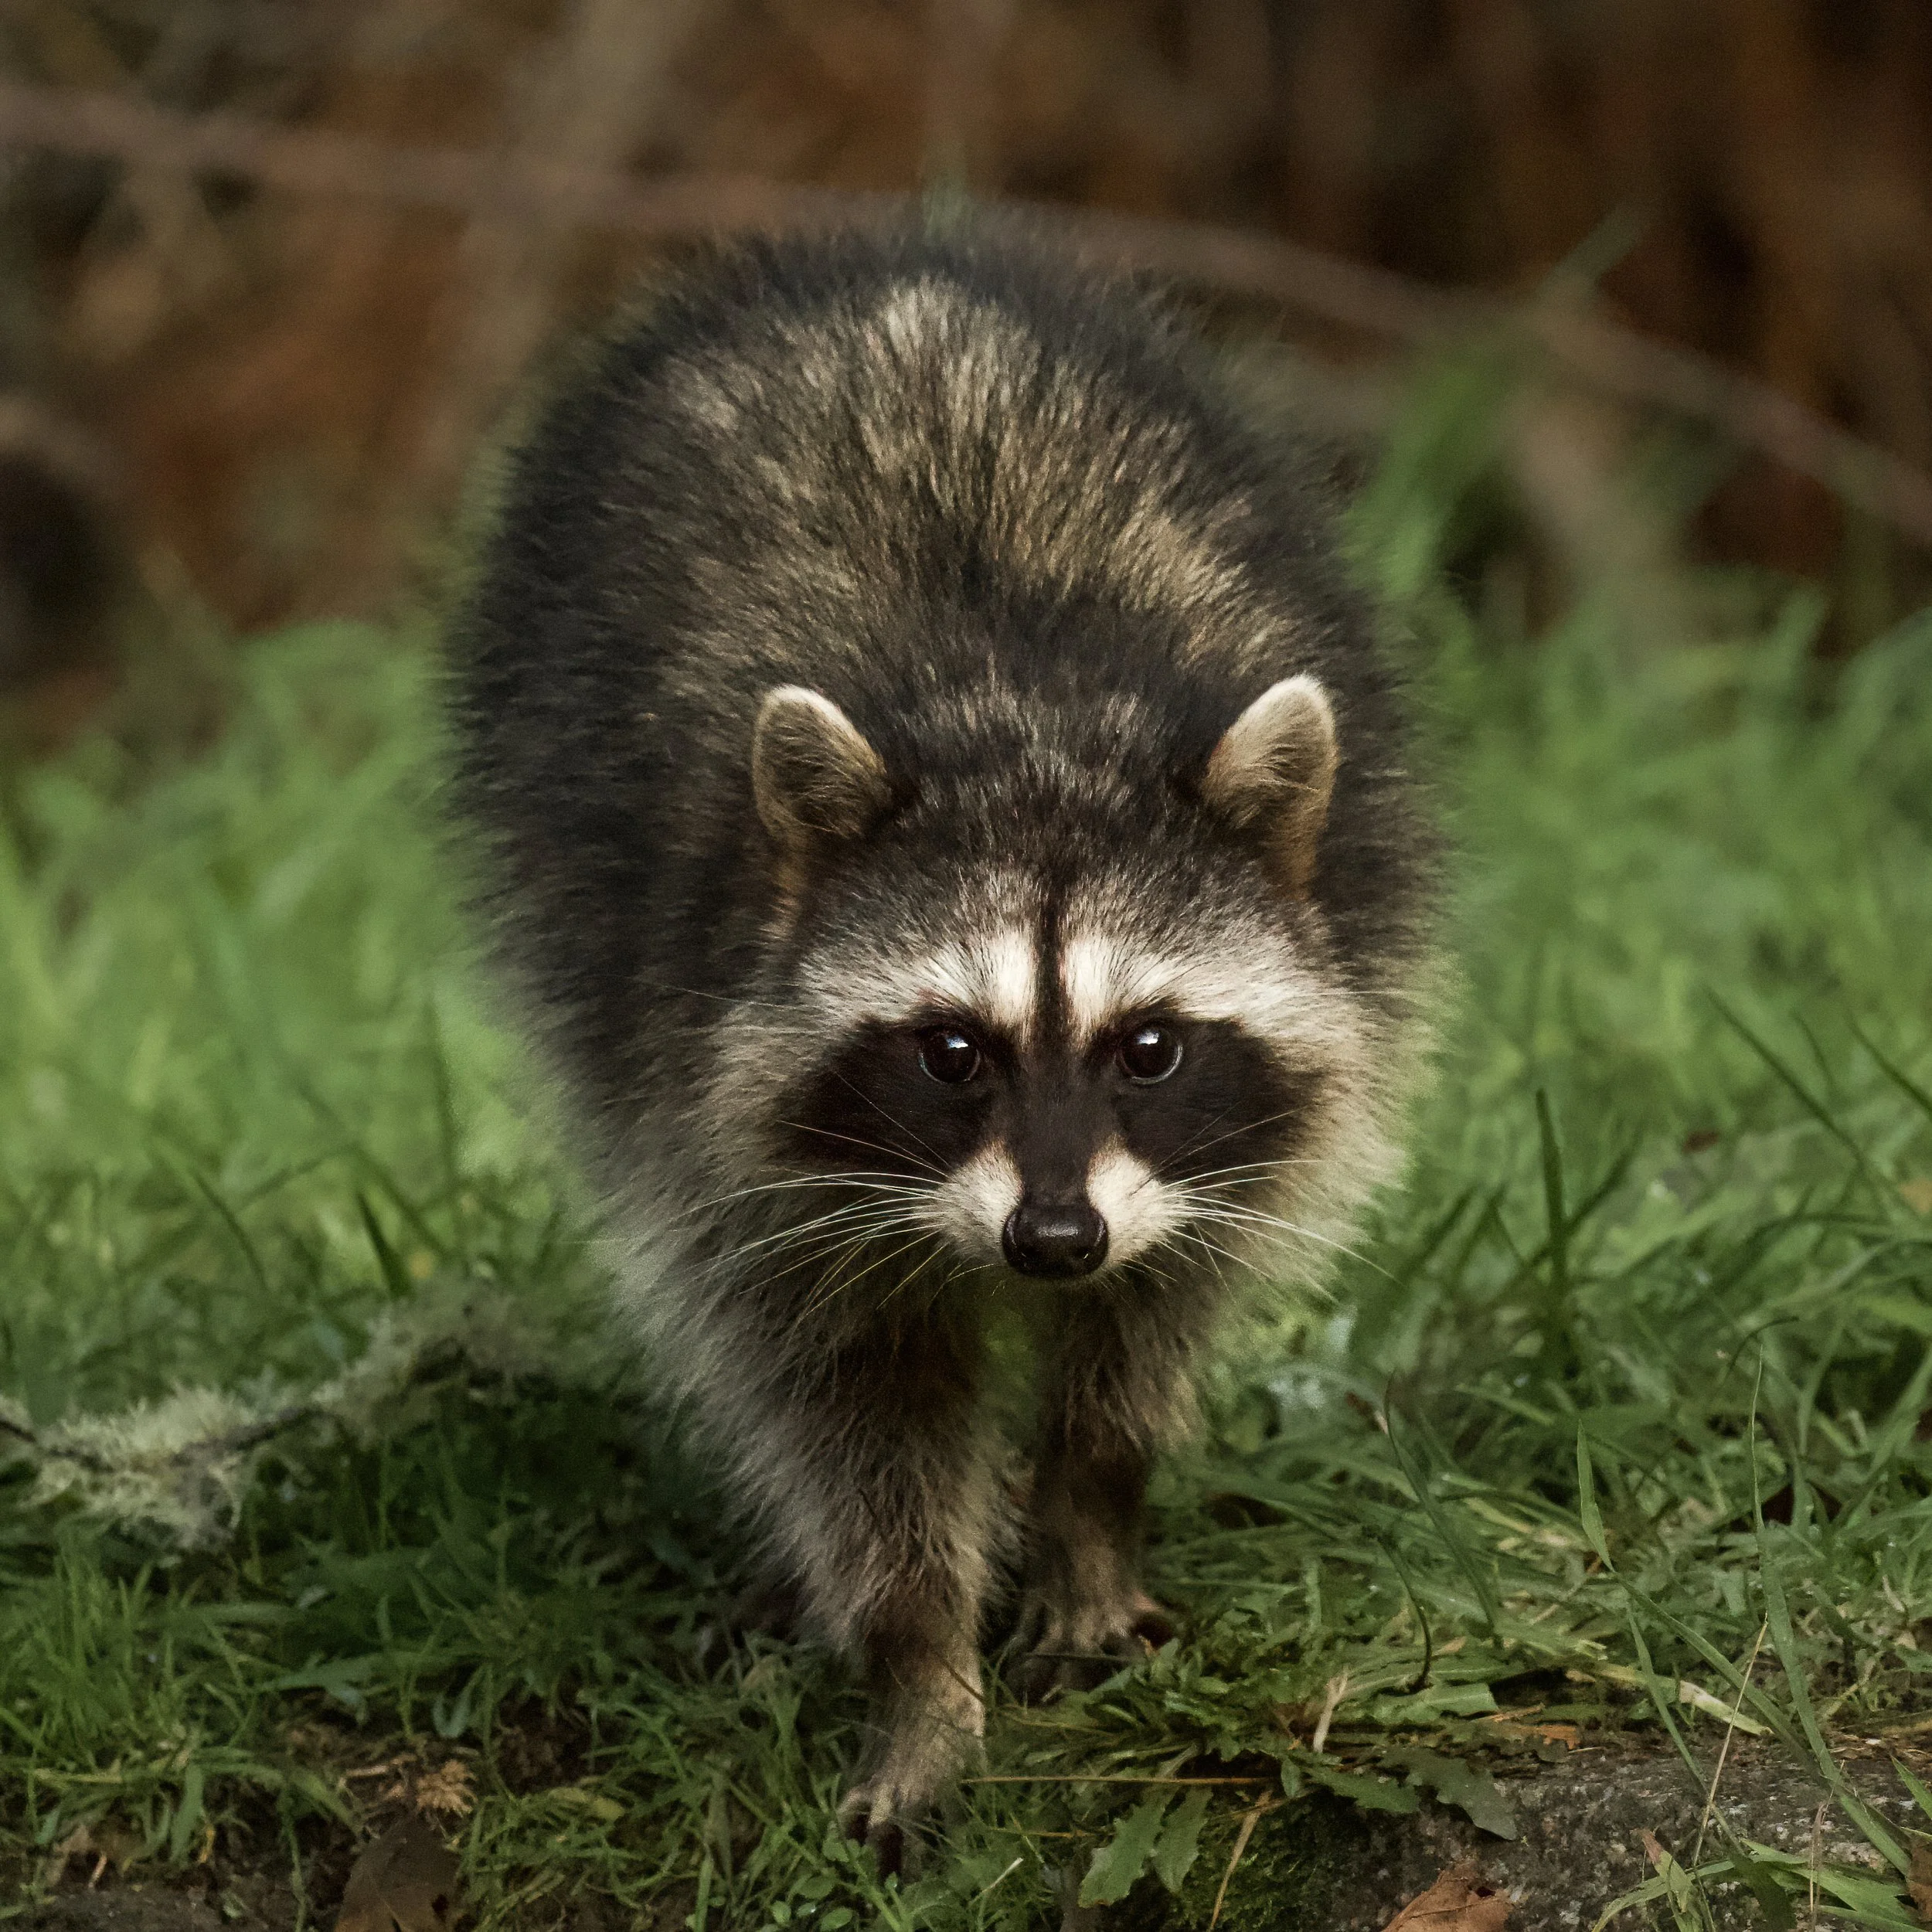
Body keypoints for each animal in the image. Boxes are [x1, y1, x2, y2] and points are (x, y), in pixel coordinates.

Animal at [446, 222, 1436, 1869]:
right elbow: (848, 1397)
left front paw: (1091, 1513)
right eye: (953, 1052)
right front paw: (916, 1661)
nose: (1053, 1240)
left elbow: (1156, 1317)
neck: (1023, 724)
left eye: (1148, 1047)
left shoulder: (1277, 1074)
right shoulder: (714, 1087)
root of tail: (872, 254)